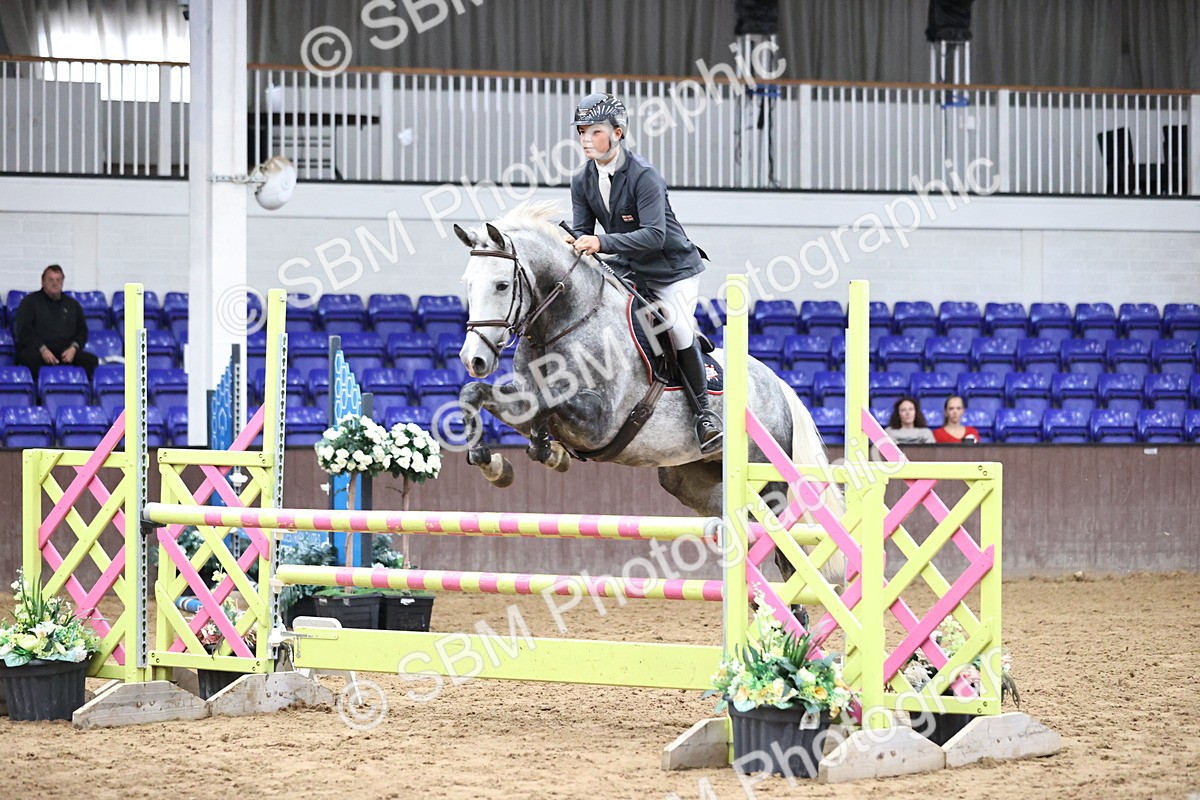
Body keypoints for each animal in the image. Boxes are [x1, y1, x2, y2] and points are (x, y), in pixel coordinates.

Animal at [452, 201, 844, 585]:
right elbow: (477, 394)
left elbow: (547, 404)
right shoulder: (524, 398)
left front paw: (545, 451)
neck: (567, 322)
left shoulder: (598, 425)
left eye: (502, 285)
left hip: (767, 483)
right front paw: (495, 462)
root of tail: (778, 385)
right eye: (467, 284)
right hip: (692, 480)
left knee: (785, 552)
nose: (474, 359)